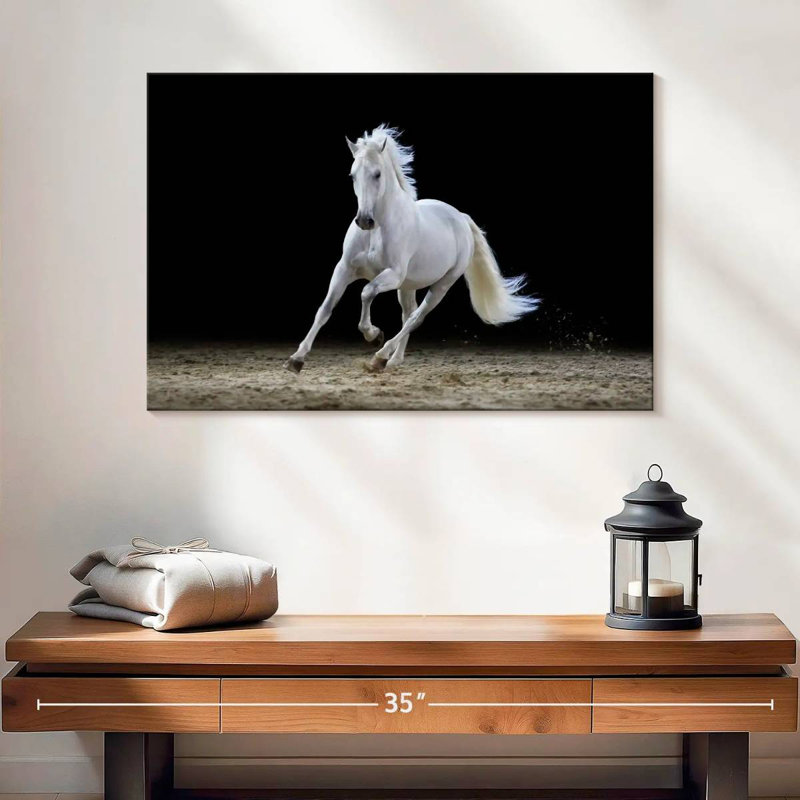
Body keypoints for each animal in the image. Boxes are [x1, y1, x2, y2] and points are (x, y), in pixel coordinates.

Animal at [286, 125, 539, 373]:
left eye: (377, 174)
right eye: (352, 175)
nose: (364, 221)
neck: (377, 230)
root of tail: (461, 217)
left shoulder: (393, 275)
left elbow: (366, 292)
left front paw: (373, 335)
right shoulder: (345, 269)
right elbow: (325, 308)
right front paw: (296, 359)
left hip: (441, 285)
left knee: (416, 317)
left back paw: (379, 357)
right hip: (408, 286)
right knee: (408, 313)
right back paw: (393, 360)